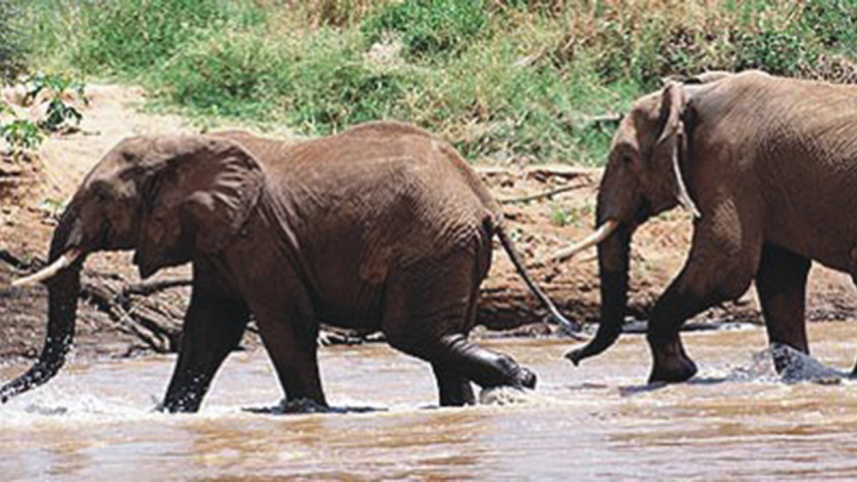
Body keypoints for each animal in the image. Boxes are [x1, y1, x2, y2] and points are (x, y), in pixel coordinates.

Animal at [1, 121, 578, 412]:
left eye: (100, 193)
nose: (5, 397)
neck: (187, 144)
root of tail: (484, 199)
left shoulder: (259, 238)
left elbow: (283, 323)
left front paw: (308, 414)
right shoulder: (221, 240)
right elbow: (209, 327)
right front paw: (170, 415)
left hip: (431, 246)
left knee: (414, 333)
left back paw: (519, 380)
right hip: (451, 250)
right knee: (443, 334)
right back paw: (477, 400)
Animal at [554, 70, 857, 382]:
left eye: (626, 157)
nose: (571, 357)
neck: (695, 94)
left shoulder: (729, 164)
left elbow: (725, 267)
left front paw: (673, 374)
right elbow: (779, 275)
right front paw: (800, 375)